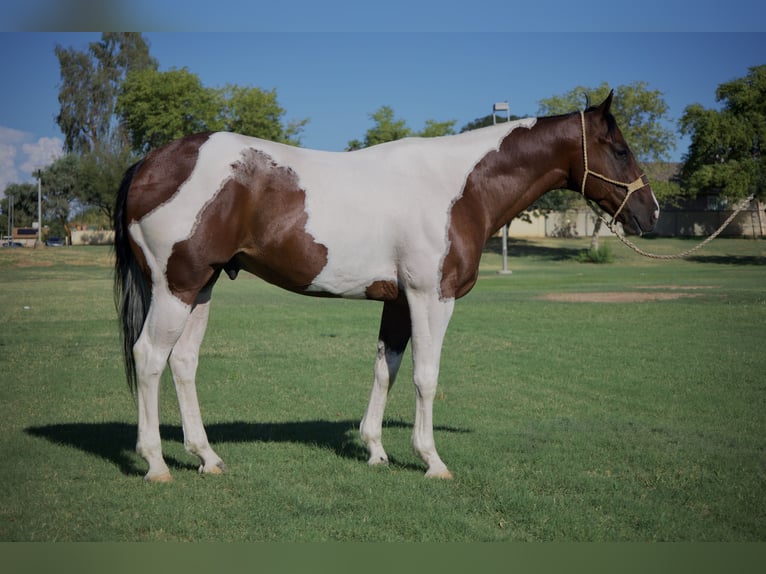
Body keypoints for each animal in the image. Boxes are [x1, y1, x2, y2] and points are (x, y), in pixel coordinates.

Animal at [114, 91, 659, 482]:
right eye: (620, 149)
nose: (649, 212)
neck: (457, 187)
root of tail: (149, 163)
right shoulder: (430, 297)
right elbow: (426, 376)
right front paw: (431, 460)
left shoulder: (397, 303)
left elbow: (386, 369)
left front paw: (375, 450)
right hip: (177, 287)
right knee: (149, 357)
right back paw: (156, 464)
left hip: (201, 287)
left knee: (183, 362)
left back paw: (206, 457)